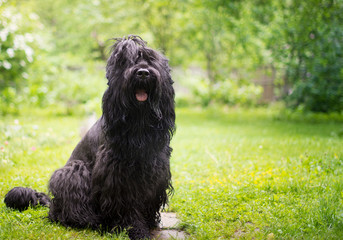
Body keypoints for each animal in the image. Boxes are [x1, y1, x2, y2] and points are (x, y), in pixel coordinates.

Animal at [4, 36, 177, 240]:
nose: (142, 73)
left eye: (150, 60)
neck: (138, 124)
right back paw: (91, 221)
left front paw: (149, 222)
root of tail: (52, 204)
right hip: (72, 171)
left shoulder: (156, 171)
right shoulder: (118, 175)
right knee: (64, 211)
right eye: (127, 63)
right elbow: (127, 206)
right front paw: (135, 230)